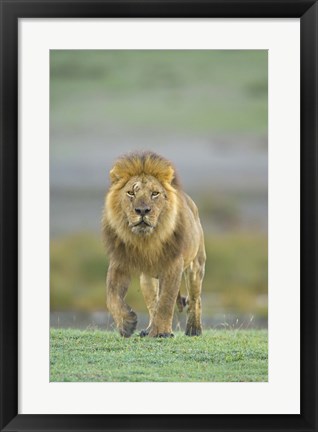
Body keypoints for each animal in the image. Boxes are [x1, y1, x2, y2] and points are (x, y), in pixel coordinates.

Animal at [102, 152, 206, 338]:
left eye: (155, 194)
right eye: (131, 193)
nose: (142, 211)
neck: (146, 240)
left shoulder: (173, 265)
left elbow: (166, 301)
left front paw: (161, 332)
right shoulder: (119, 262)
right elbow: (112, 296)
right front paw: (127, 324)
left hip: (196, 266)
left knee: (195, 299)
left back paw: (193, 329)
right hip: (147, 279)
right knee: (152, 304)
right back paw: (148, 329)